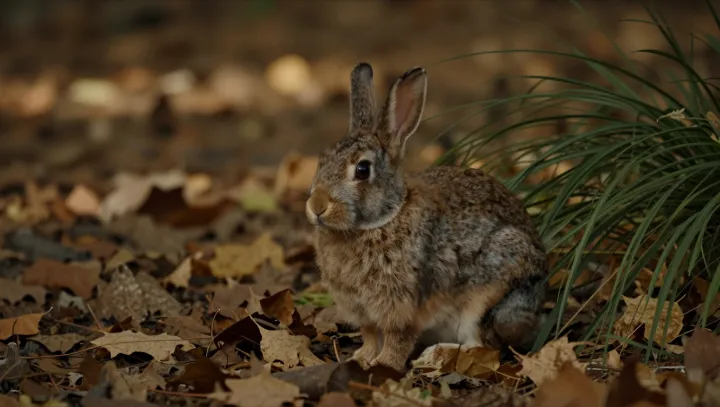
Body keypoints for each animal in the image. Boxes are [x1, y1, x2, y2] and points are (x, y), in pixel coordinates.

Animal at [305, 62, 548, 371]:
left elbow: (398, 337)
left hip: (490, 295)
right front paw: (361, 358)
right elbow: (370, 334)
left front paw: (384, 364)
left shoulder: (405, 304)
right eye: (322, 161)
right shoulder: (363, 312)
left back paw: (434, 356)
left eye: (362, 170)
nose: (317, 206)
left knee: (483, 346)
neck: (382, 219)